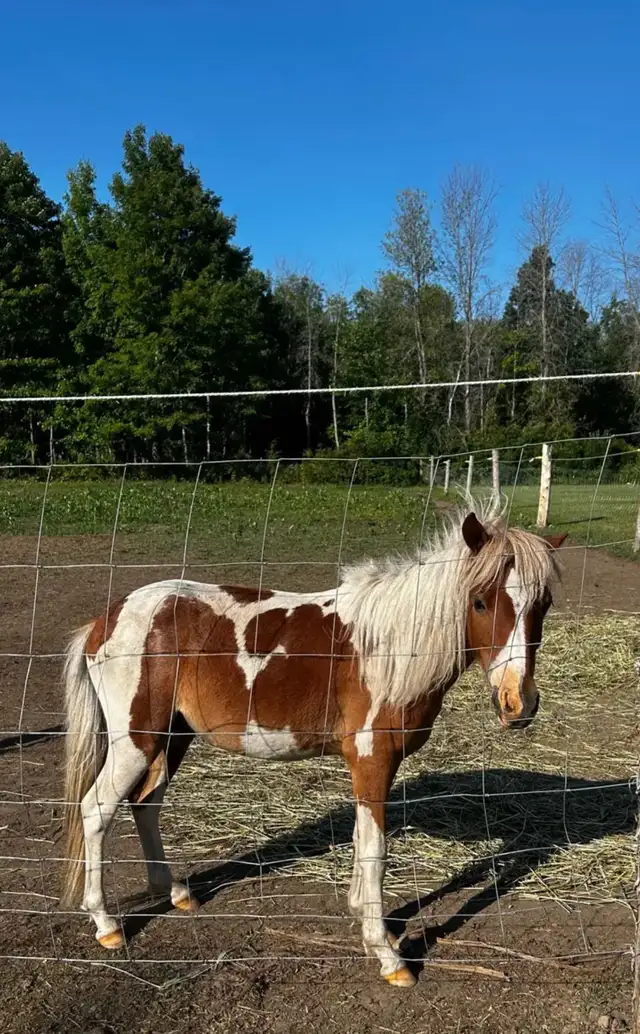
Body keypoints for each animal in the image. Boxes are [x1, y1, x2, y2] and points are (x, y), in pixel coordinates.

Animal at [59, 502, 566, 987]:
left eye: (543, 605)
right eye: (479, 602)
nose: (517, 703)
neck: (388, 648)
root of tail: (106, 619)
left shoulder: (371, 767)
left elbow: (363, 841)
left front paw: (371, 927)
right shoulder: (371, 760)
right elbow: (376, 851)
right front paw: (388, 956)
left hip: (171, 738)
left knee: (146, 804)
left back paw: (176, 893)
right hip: (136, 742)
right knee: (96, 810)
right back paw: (106, 924)